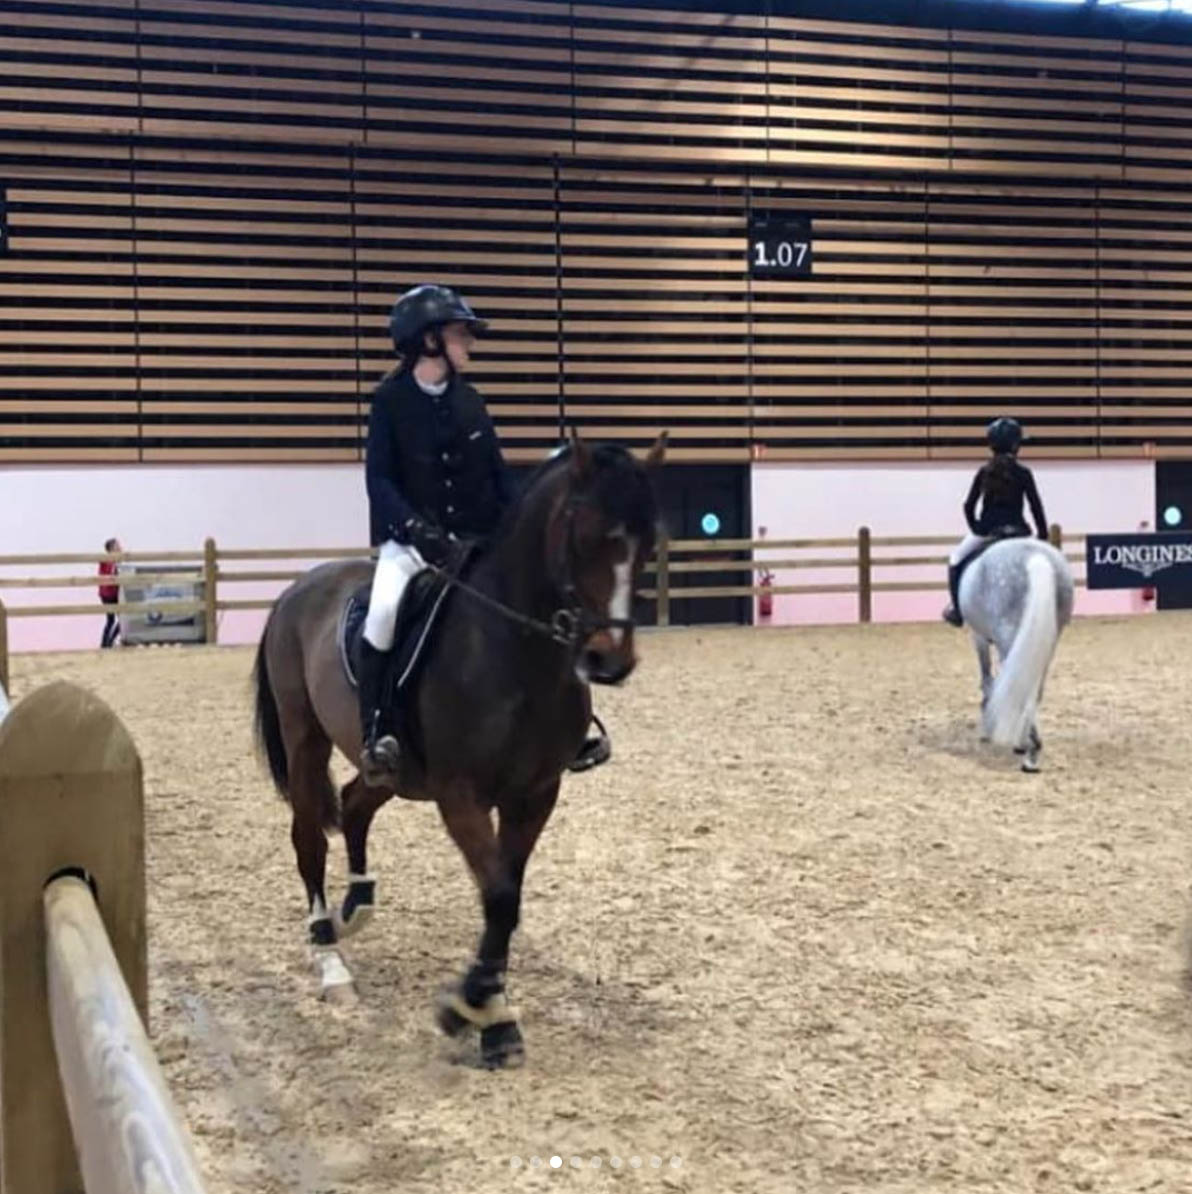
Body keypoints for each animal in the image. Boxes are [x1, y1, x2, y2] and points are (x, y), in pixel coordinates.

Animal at [254, 434, 664, 1069]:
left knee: (355, 801)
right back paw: (330, 958)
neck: (518, 657)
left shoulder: (534, 796)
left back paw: (358, 906)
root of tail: (300, 587)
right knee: (307, 840)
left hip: (391, 771)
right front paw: (469, 1009)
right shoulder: (461, 795)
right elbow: (498, 896)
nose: (608, 660)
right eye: (584, 534)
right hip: (305, 740)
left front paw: (492, 1014)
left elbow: (507, 900)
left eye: (648, 541)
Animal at [955, 534, 1079, 773]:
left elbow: (988, 680)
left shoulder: (979, 637)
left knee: (1019, 685)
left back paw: (1026, 749)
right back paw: (1031, 747)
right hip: (1048, 640)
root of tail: (1034, 555)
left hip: (1008, 635)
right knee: (1034, 687)